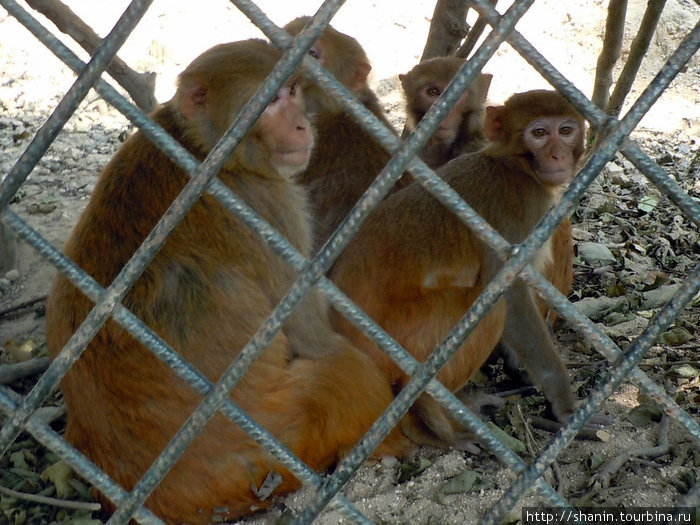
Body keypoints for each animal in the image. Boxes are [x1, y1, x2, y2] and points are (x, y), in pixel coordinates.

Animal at [328, 91, 584, 450]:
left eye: (565, 129)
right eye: (539, 133)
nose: (557, 154)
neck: (513, 166)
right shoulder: (516, 213)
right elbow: (511, 298)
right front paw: (563, 402)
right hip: (407, 333)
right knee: (488, 308)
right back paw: (436, 424)